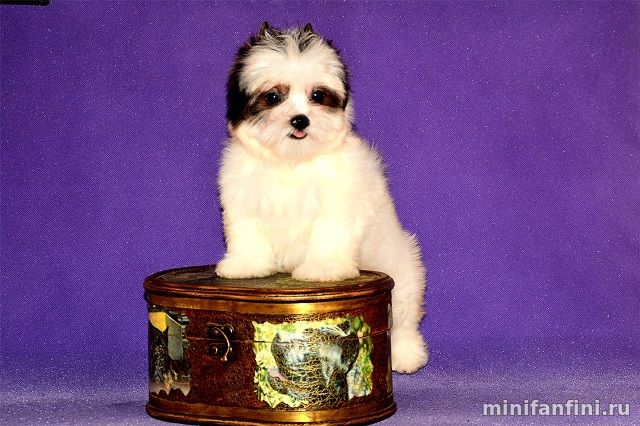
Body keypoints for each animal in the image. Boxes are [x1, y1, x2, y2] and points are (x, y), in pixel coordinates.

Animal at [215, 22, 428, 373]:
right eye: (273, 97)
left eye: (317, 95)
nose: (300, 120)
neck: (292, 160)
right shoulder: (242, 197)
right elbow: (247, 234)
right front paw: (246, 265)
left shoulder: (338, 201)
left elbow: (329, 235)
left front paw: (324, 269)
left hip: (402, 272)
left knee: (402, 320)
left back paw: (406, 355)